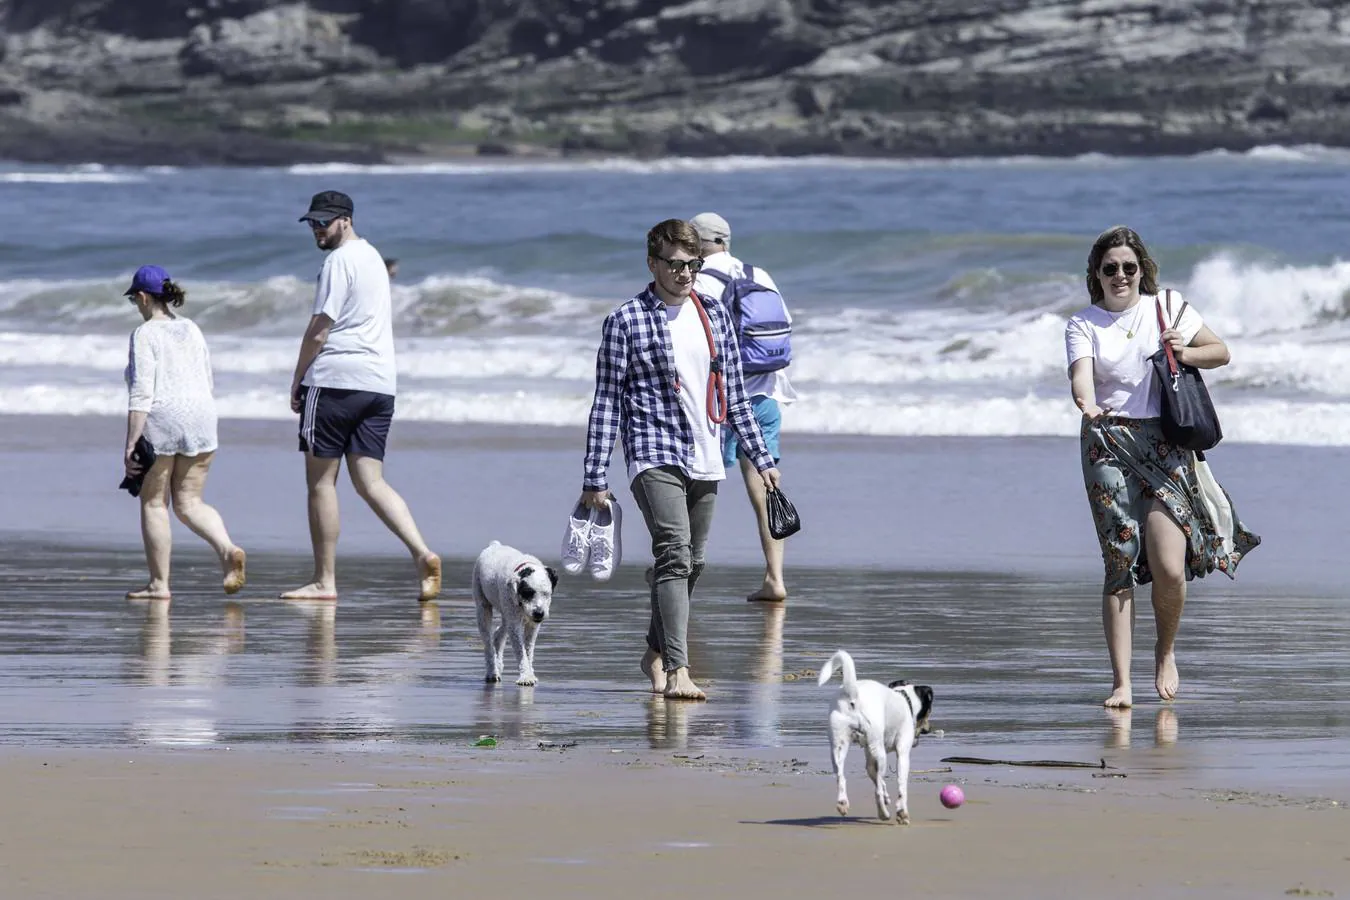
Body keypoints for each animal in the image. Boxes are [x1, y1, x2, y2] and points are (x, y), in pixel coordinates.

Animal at [475, 545, 558, 685]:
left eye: (546, 594)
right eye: (527, 593)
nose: (539, 614)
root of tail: (494, 544)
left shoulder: (532, 626)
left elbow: (528, 649)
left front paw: (530, 673)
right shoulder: (515, 623)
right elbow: (521, 650)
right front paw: (526, 677)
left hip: (507, 613)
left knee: (499, 633)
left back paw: (498, 662)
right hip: (482, 604)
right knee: (488, 642)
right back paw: (492, 672)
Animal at [815, 650, 934, 825]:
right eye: (929, 710)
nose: (928, 729)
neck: (904, 699)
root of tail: (853, 696)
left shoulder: (869, 758)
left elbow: (878, 779)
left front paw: (887, 797)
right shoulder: (902, 754)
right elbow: (900, 787)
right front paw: (902, 813)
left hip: (838, 747)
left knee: (841, 777)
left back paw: (843, 803)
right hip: (879, 751)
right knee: (876, 791)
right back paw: (883, 814)